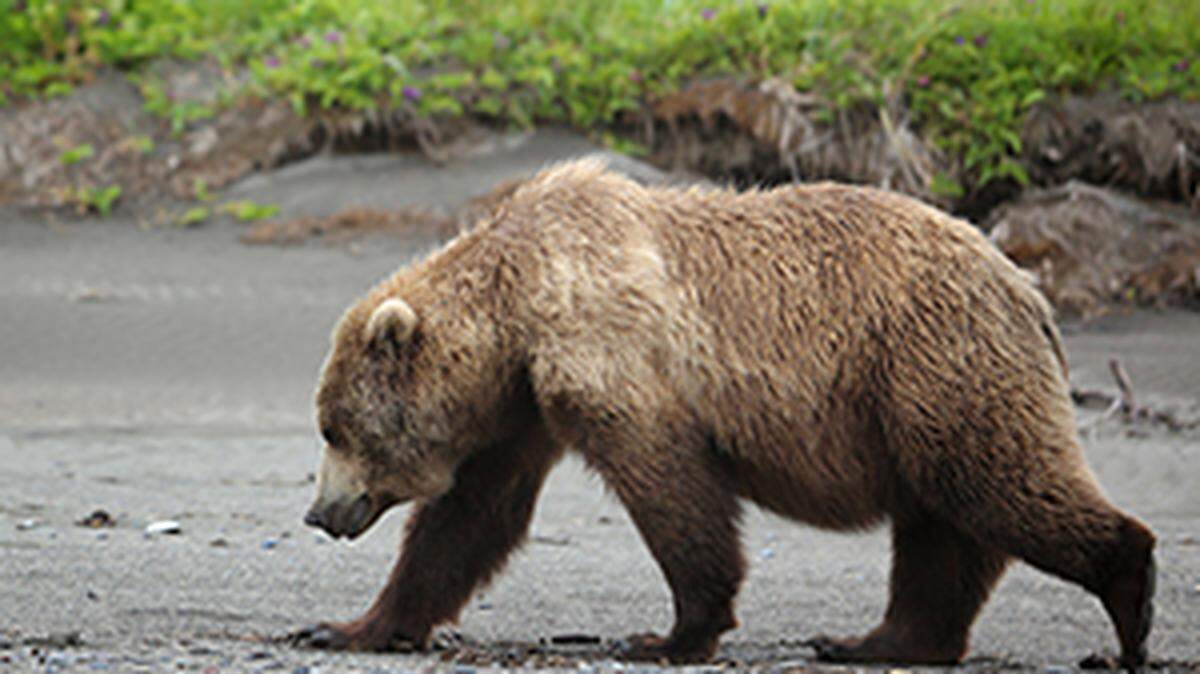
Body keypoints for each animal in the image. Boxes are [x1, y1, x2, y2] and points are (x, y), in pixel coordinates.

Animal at [293, 158, 1156, 668]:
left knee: (996, 483)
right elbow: (469, 517)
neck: (518, 308)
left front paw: (667, 633)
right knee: (940, 530)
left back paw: (1130, 599)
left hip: (936, 360)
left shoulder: (605, 351)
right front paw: (351, 625)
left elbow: (671, 486)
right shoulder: (523, 406)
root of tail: (1027, 288)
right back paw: (873, 640)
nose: (318, 512)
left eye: (333, 427)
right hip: (916, 395)